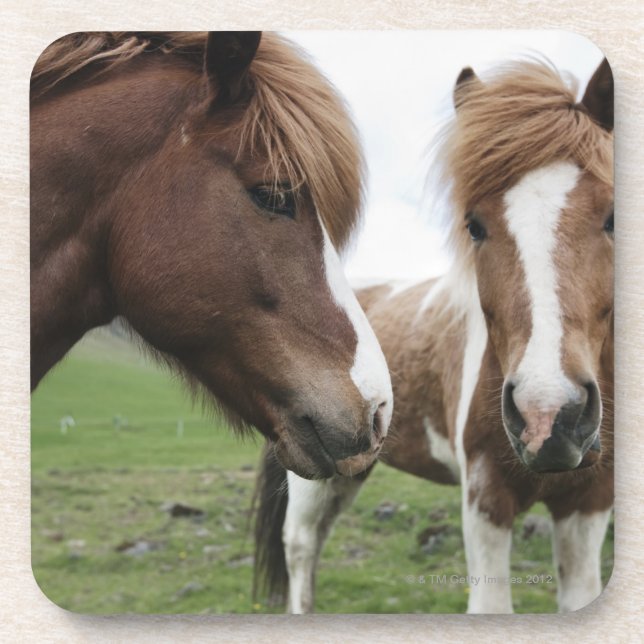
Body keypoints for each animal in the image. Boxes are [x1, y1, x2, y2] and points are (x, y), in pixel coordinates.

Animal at [253, 57, 614, 613]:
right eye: (474, 226)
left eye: (614, 217)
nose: (547, 417)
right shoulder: (485, 499)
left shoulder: (588, 506)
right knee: (300, 545)